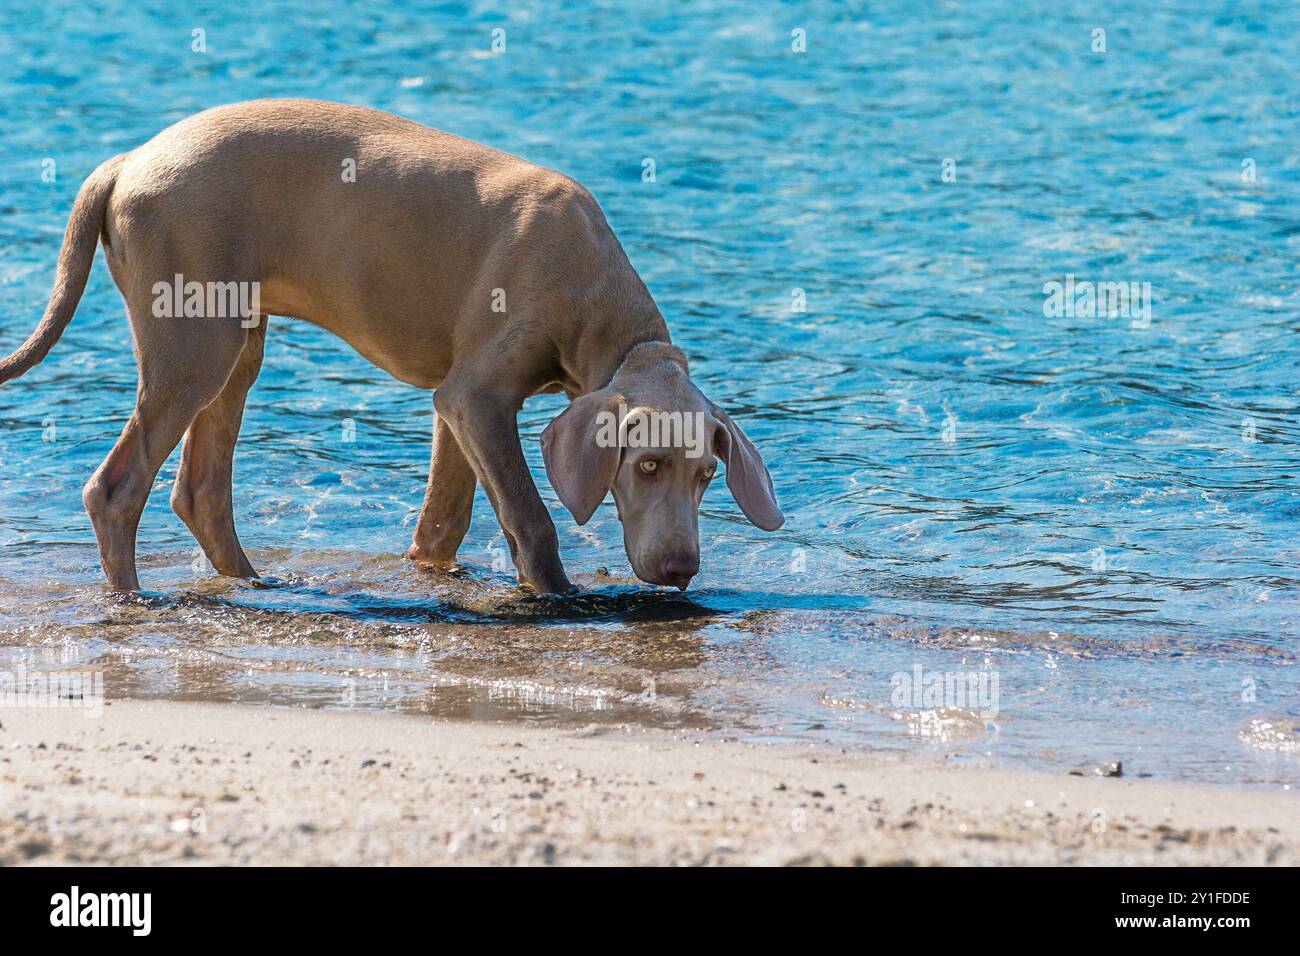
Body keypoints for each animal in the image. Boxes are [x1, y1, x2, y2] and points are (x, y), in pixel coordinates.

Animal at [2, 97, 780, 590]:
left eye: (707, 477)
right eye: (646, 465)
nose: (682, 570)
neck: (605, 317)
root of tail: (127, 161)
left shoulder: (459, 405)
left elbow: (446, 517)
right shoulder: (476, 395)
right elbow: (531, 517)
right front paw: (560, 598)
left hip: (235, 340)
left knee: (200, 490)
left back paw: (256, 584)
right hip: (194, 343)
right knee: (116, 487)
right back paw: (134, 599)